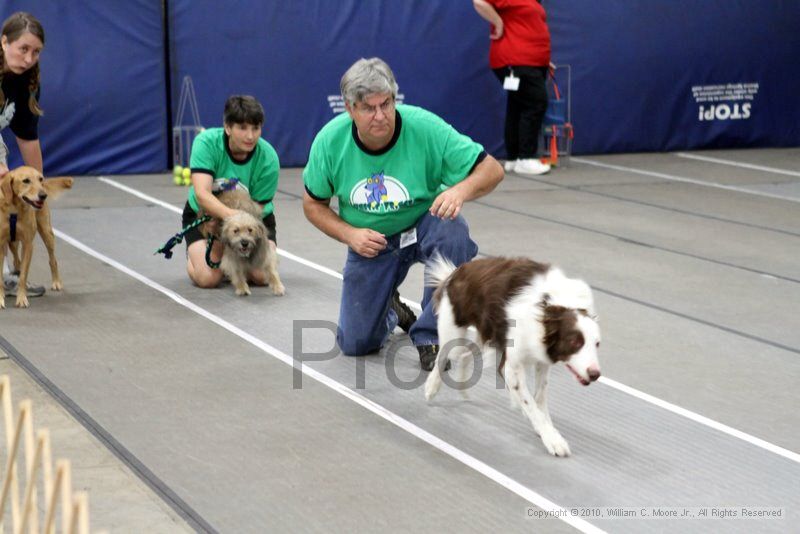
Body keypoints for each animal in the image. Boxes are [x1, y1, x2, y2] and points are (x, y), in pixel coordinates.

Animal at [0, 168, 73, 310]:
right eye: (26, 181)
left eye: (40, 179)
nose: (43, 195)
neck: (14, 208)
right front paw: (0, 299)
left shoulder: (28, 244)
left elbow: (23, 275)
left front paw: (22, 299)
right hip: (12, 242)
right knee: (17, 261)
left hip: (47, 232)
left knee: (52, 260)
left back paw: (56, 282)